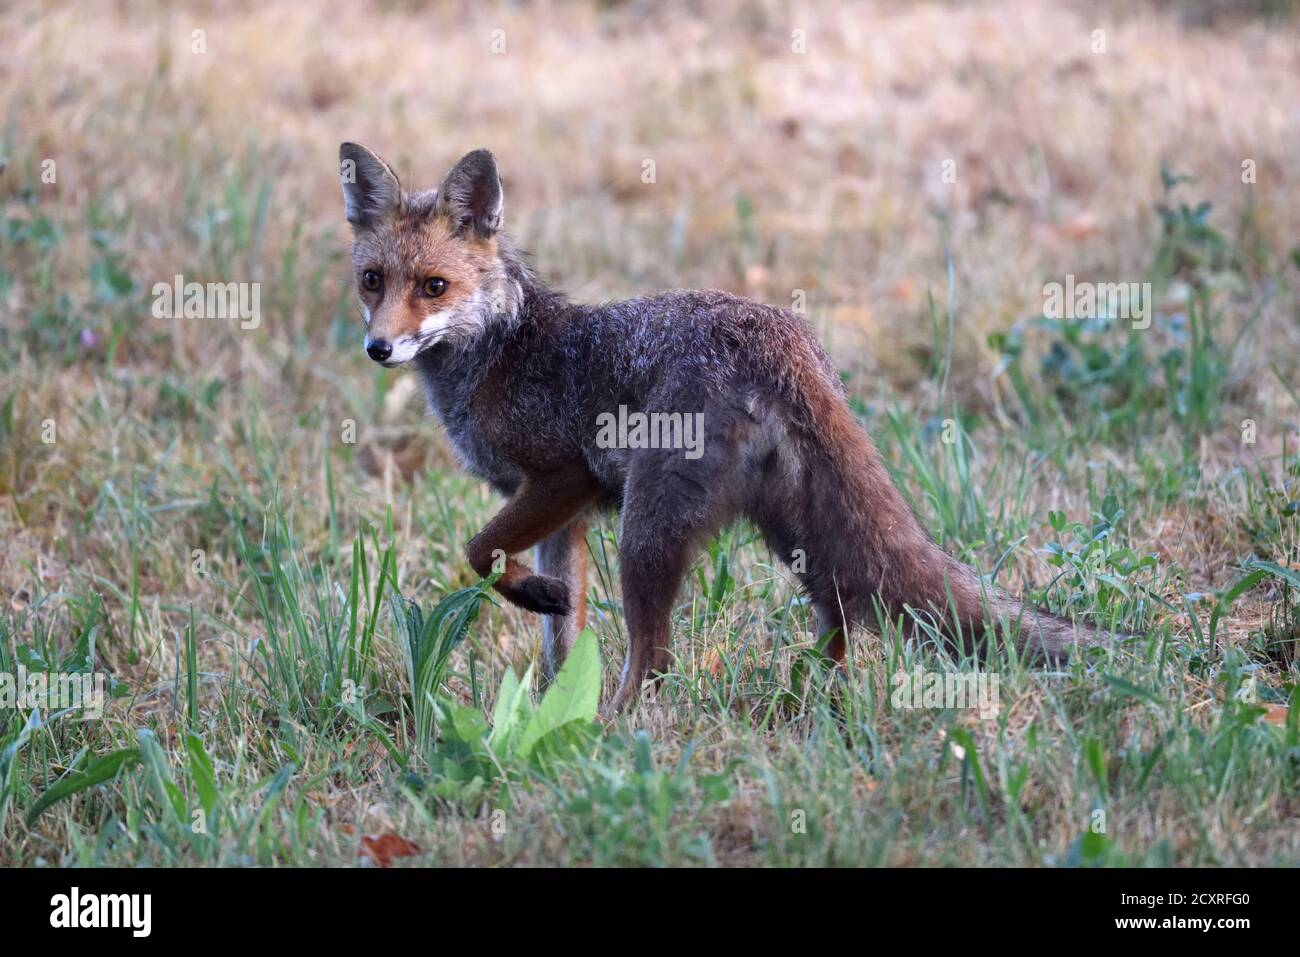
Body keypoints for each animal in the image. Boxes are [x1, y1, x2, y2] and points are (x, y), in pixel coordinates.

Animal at [338, 143, 1102, 714]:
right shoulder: (567, 515)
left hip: (647, 534)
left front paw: (562, 700)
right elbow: (563, 638)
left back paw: (618, 730)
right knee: (842, 610)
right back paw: (811, 696)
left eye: (433, 287)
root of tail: (782, 335)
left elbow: (480, 551)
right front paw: (554, 707)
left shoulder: (562, 476)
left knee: (656, 659)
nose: (379, 348)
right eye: (373, 280)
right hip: (793, 531)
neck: (499, 350)